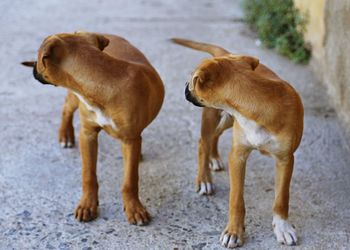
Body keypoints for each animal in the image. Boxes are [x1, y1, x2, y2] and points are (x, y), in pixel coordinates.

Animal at [22, 30, 165, 225]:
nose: (34, 68)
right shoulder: (87, 134)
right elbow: (88, 175)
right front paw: (87, 205)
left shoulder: (130, 139)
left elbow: (130, 179)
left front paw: (134, 208)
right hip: (74, 100)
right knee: (66, 109)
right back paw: (65, 135)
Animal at [172, 38, 304, 247]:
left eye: (193, 80)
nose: (185, 86)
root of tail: (226, 52)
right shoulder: (237, 155)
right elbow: (236, 199)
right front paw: (234, 231)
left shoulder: (285, 158)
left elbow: (282, 198)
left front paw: (282, 227)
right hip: (213, 118)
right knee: (203, 142)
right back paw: (204, 180)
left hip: (226, 121)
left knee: (213, 138)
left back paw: (214, 159)